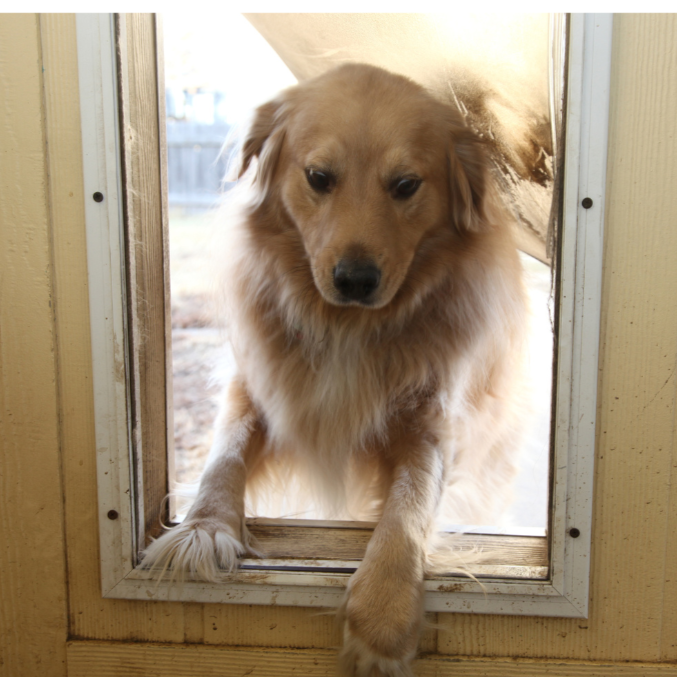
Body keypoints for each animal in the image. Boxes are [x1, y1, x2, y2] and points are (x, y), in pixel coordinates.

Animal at [144, 62, 528, 672]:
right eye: (319, 177)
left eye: (406, 185)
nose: (355, 279)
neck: (347, 328)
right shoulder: (253, 392)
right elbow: (222, 458)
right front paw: (203, 526)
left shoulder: (431, 429)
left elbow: (409, 506)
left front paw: (384, 614)